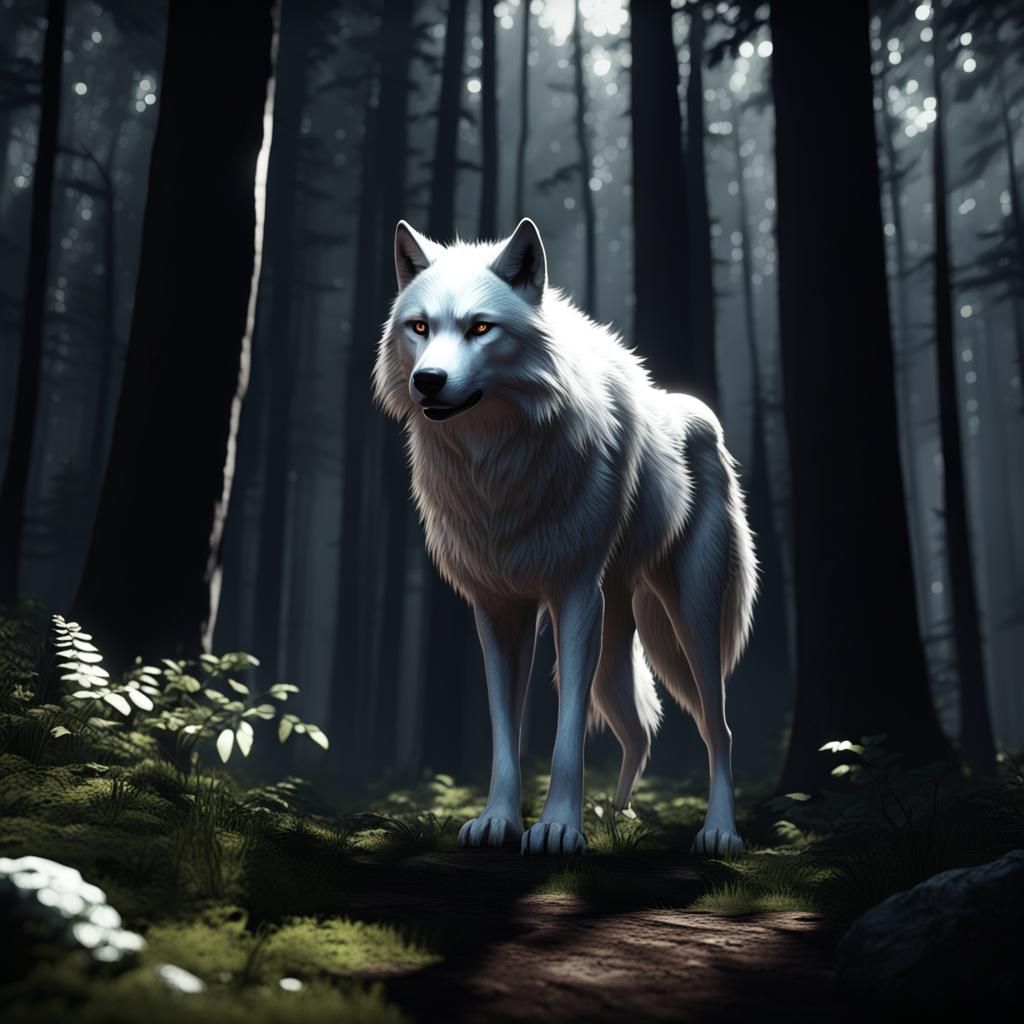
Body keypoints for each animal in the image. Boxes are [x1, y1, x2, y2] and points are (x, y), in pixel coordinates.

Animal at [373, 218, 757, 857]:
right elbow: (505, 732)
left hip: (691, 615)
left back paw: (719, 832)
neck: (495, 464)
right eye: (420, 326)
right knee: (640, 730)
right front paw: (498, 821)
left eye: (481, 328)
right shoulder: (497, 607)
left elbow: (566, 732)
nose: (428, 381)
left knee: (718, 726)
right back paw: (618, 819)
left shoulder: (575, 596)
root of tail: (700, 414)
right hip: (619, 631)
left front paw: (557, 827)